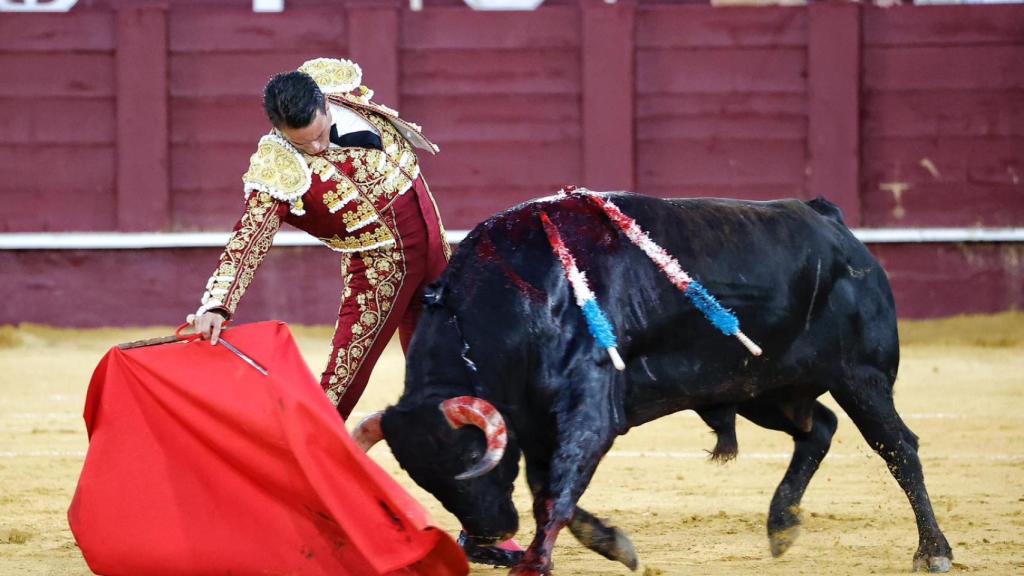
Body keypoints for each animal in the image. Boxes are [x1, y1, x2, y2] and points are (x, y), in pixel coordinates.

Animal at [356, 192, 954, 573]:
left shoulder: (590, 414)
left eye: (471, 459)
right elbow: (549, 490)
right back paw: (782, 524)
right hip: (759, 387)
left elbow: (555, 494)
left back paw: (934, 551)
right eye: (425, 479)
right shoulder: (538, 427)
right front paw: (609, 544)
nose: (484, 535)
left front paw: (535, 563)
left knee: (898, 448)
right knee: (819, 428)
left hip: (861, 377)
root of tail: (828, 218)